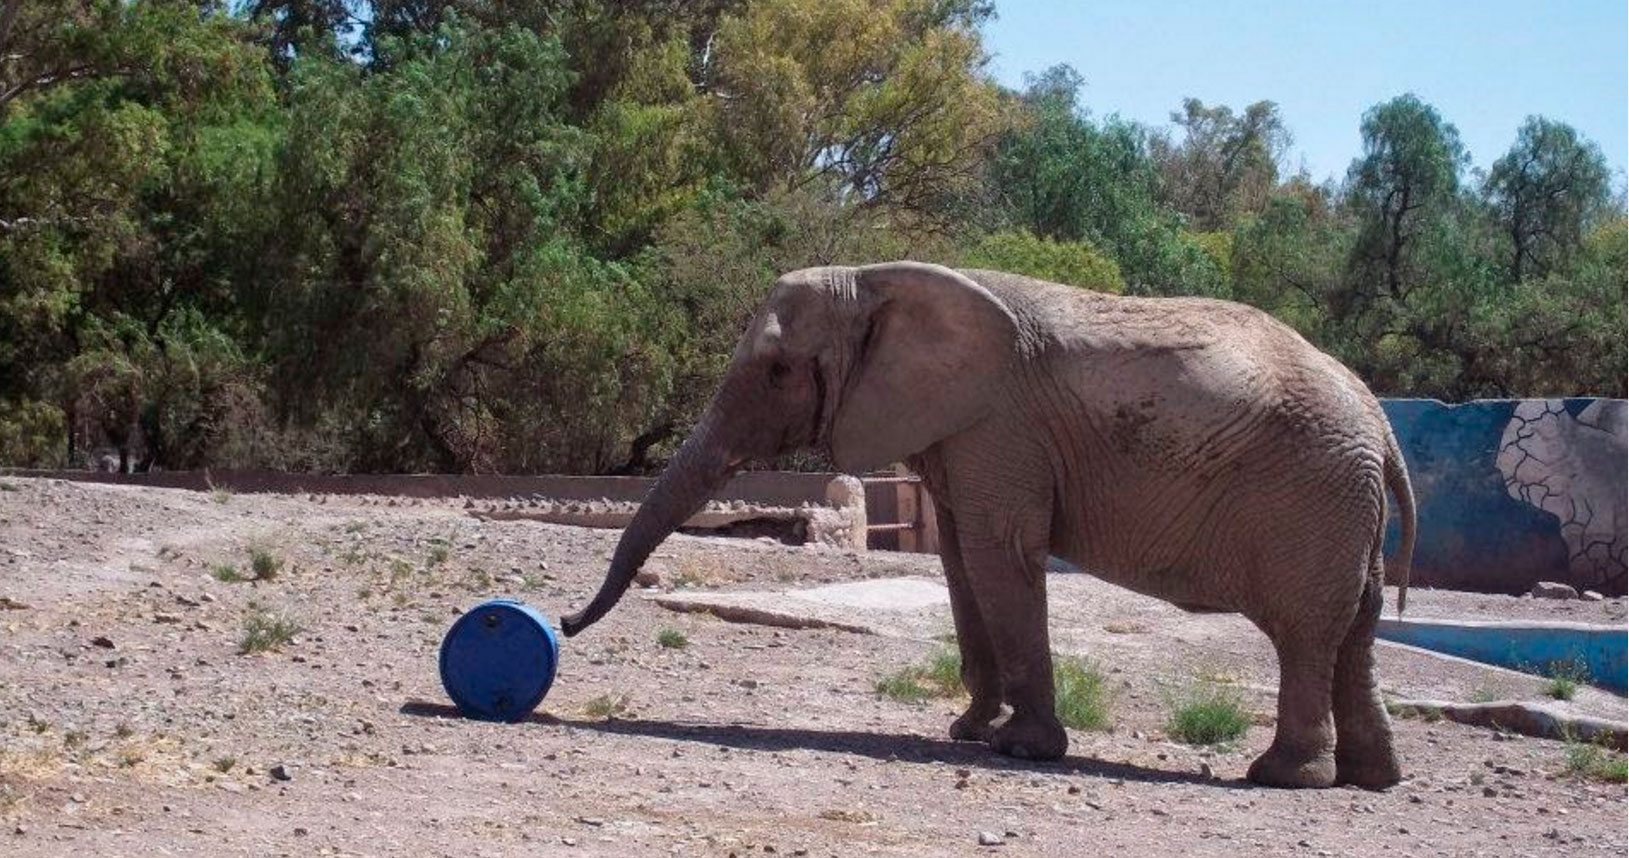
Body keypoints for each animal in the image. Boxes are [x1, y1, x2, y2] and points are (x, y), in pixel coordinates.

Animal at [560, 263, 1413, 791]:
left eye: (777, 370)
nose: (563, 625)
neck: (876, 278)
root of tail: (1383, 427)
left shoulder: (1000, 428)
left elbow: (997, 555)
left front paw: (1020, 748)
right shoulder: (958, 430)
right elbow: (959, 563)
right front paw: (967, 730)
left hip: (1309, 497)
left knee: (1305, 633)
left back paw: (1283, 777)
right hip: (1340, 505)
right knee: (1356, 629)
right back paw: (1371, 778)